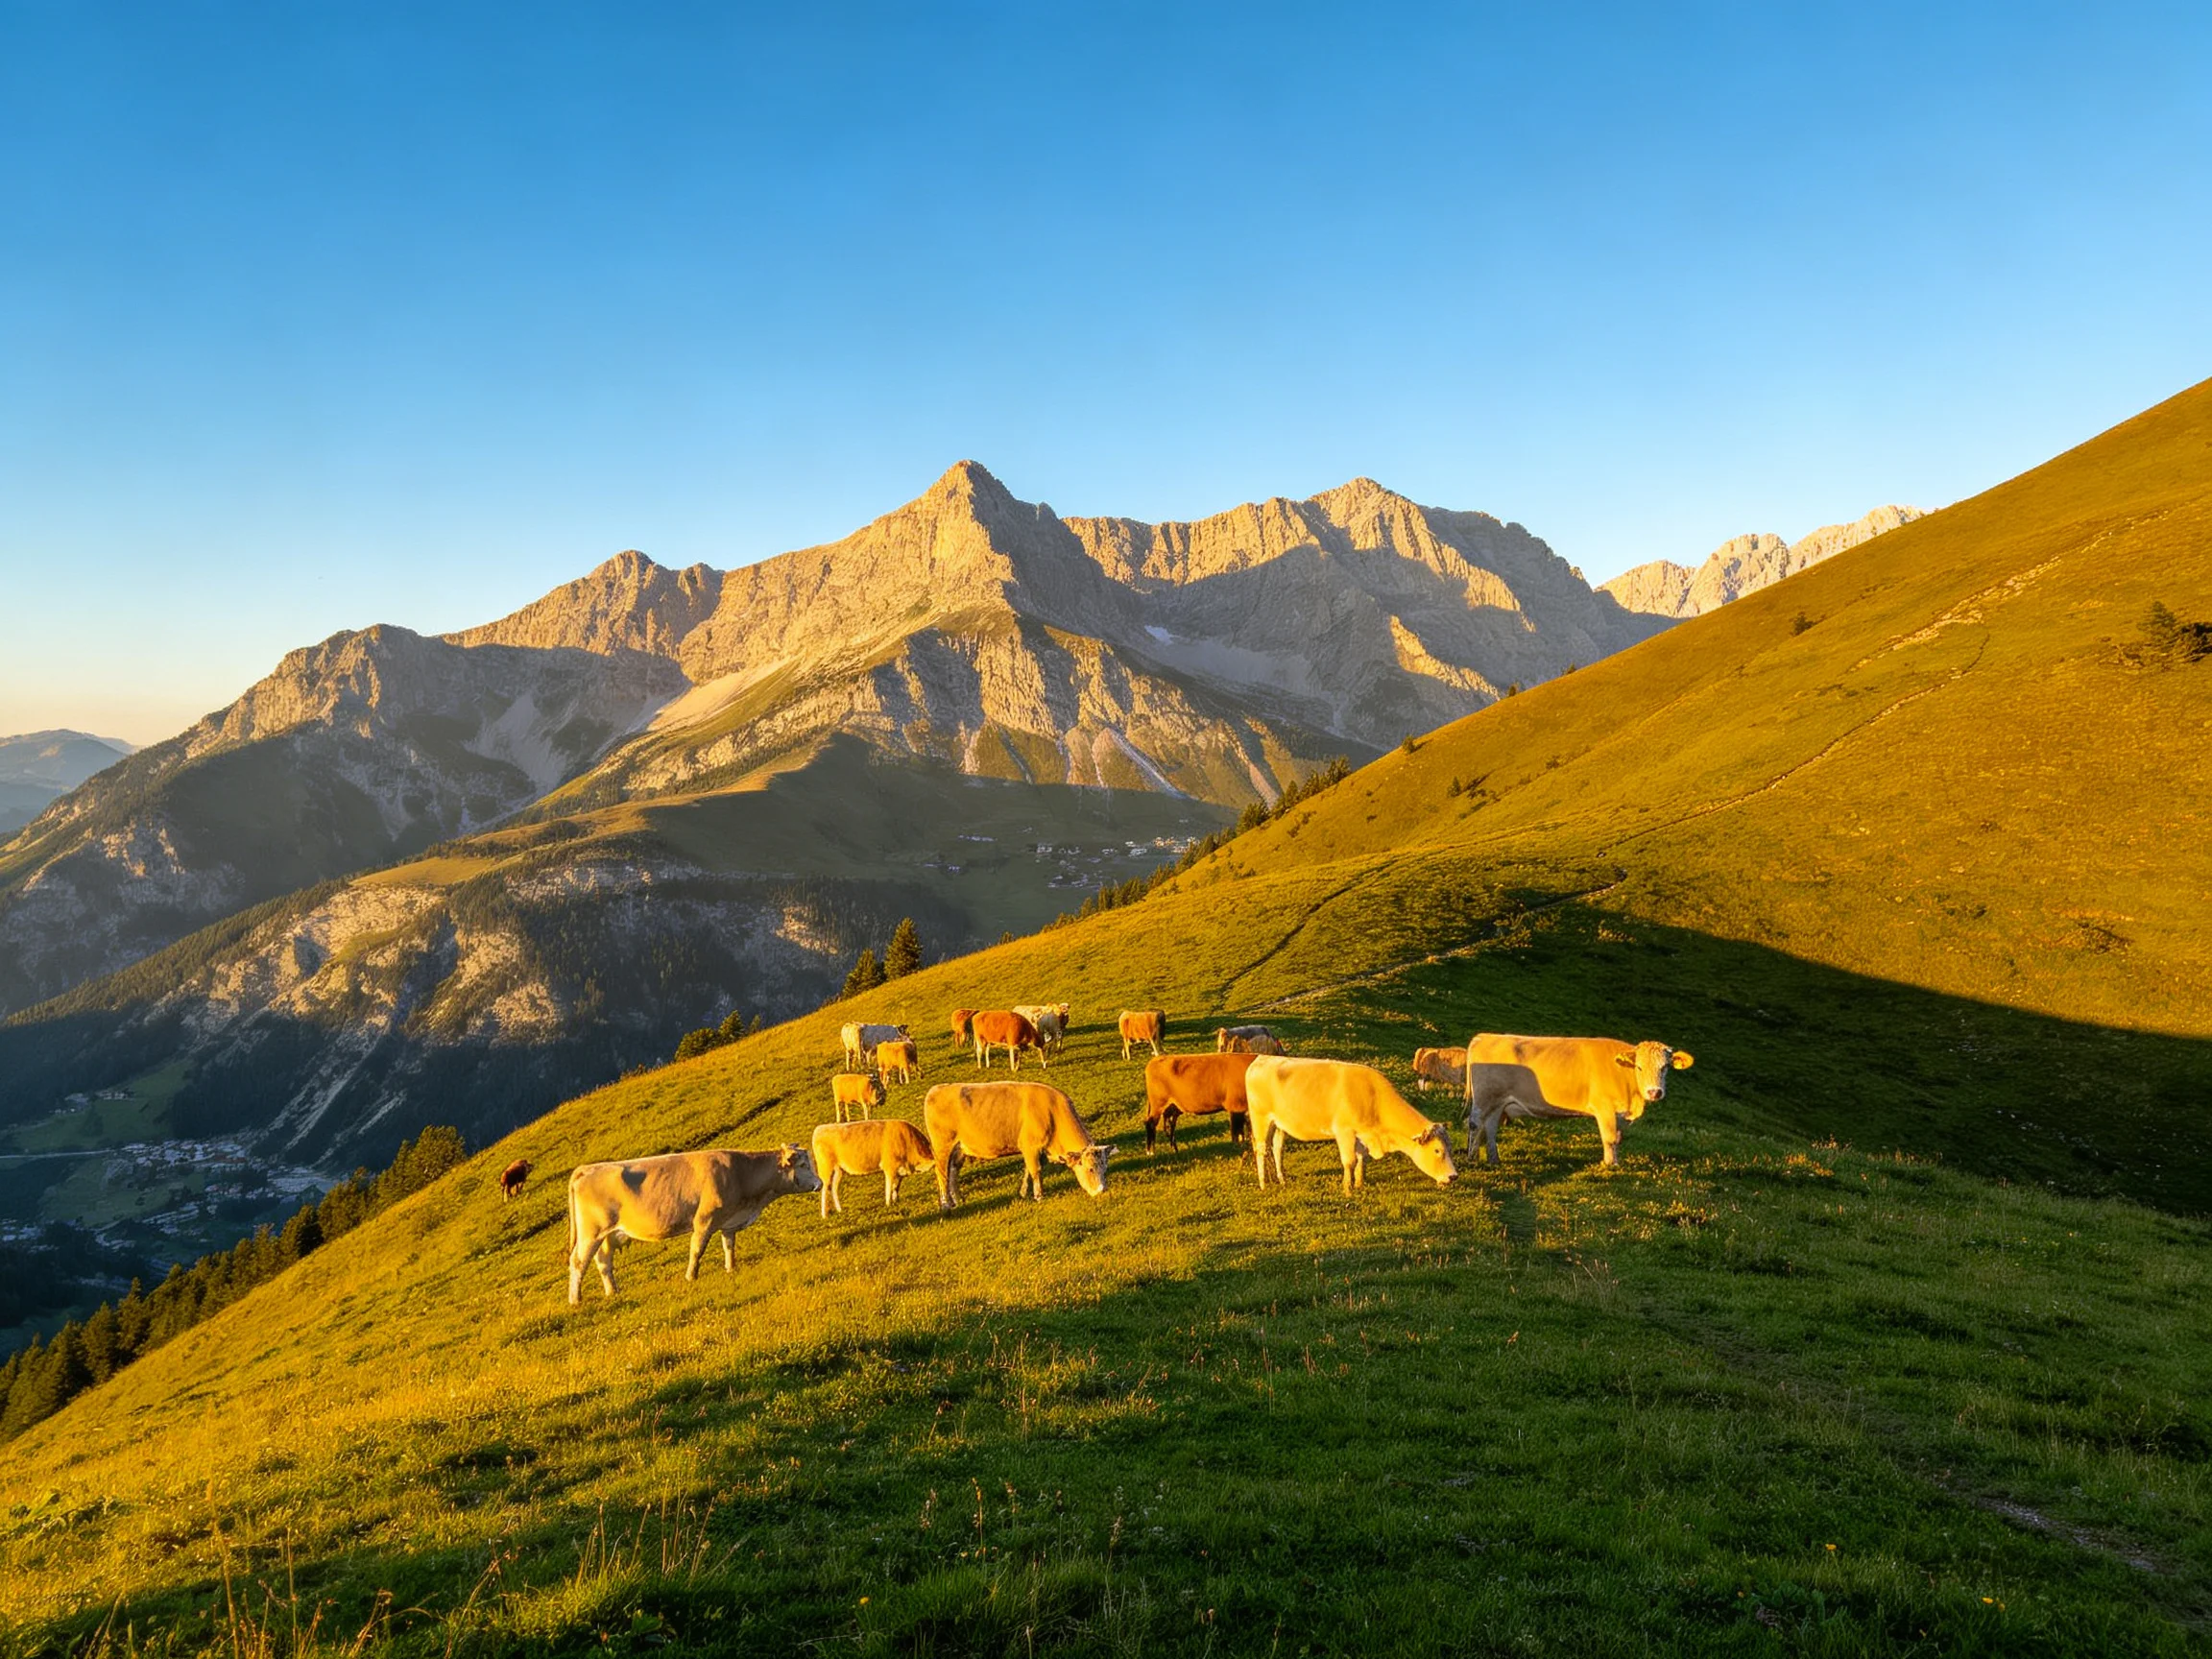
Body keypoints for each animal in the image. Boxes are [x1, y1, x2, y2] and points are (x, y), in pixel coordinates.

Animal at [566, 1146, 820, 1302]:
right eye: (804, 1165)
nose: (819, 1183)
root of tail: (588, 1168)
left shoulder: (728, 1221)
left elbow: (729, 1246)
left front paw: (731, 1268)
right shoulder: (704, 1219)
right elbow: (697, 1250)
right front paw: (691, 1277)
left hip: (607, 1235)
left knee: (603, 1262)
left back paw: (613, 1291)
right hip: (591, 1232)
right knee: (578, 1261)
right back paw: (575, 1300)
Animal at [811, 1118, 935, 1217]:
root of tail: (820, 1128)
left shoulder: (899, 1171)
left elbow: (896, 1187)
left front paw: (896, 1201)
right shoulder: (889, 1167)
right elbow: (889, 1187)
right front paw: (888, 1204)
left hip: (839, 1170)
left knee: (834, 1189)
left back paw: (839, 1210)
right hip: (825, 1168)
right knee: (824, 1189)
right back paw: (824, 1215)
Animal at [922, 1081, 1116, 1210]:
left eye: (1105, 1169)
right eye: (1090, 1169)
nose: (1102, 1190)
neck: (1053, 1112)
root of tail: (936, 1089)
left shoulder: (1035, 1149)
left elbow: (1028, 1171)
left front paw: (1023, 1192)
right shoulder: (1030, 1146)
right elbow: (1036, 1171)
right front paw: (1039, 1196)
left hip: (959, 1148)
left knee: (953, 1171)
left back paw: (957, 1199)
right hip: (942, 1146)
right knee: (941, 1173)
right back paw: (946, 1204)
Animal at [1244, 1056, 1458, 1195]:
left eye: (1451, 1148)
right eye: (1437, 1150)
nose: (1454, 1176)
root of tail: (1262, 1058)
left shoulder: (1362, 1133)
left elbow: (1362, 1157)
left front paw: (1360, 1183)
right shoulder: (1344, 1131)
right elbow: (1349, 1161)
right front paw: (1347, 1189)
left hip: (1279, 1124)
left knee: (1277, 1149)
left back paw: (1282, 1179)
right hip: (1261, 1119)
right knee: (1261, 1150)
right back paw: (1263, 1184)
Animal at [1464, 1035, 1695, 1170]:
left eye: (1665, 1067)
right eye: (1639, 1067)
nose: (1654, 1092)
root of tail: (1484, 1036)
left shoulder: (1619, 1114)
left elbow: (1618, 1138)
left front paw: (1614, 1161)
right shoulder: (1604, 1108)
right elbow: (1609, 1138)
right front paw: (1610, 1165)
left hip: (1497, 1101)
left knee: (1490, 1126)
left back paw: (1493, 1159)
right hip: (1484, 1098)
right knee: (1475, 1123)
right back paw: (1471, 1157)